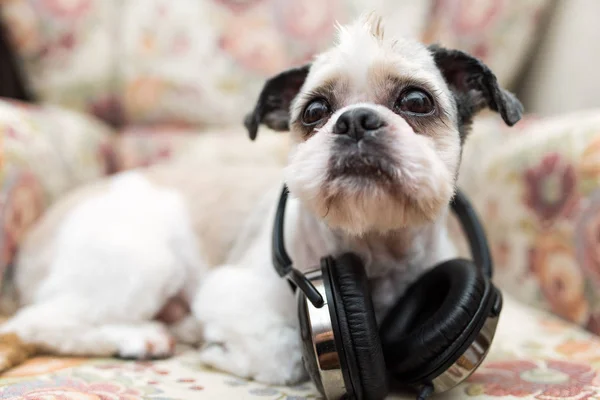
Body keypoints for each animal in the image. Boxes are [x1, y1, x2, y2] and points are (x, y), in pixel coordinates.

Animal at [0, 14, 520, 386]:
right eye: (314, 111)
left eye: (416, 102)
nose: (354, 121)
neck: (372, 249)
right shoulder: (233, 294)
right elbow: (285, 356)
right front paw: (220, 351)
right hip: (141, 261)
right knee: (36, 323)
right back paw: (140, 337)